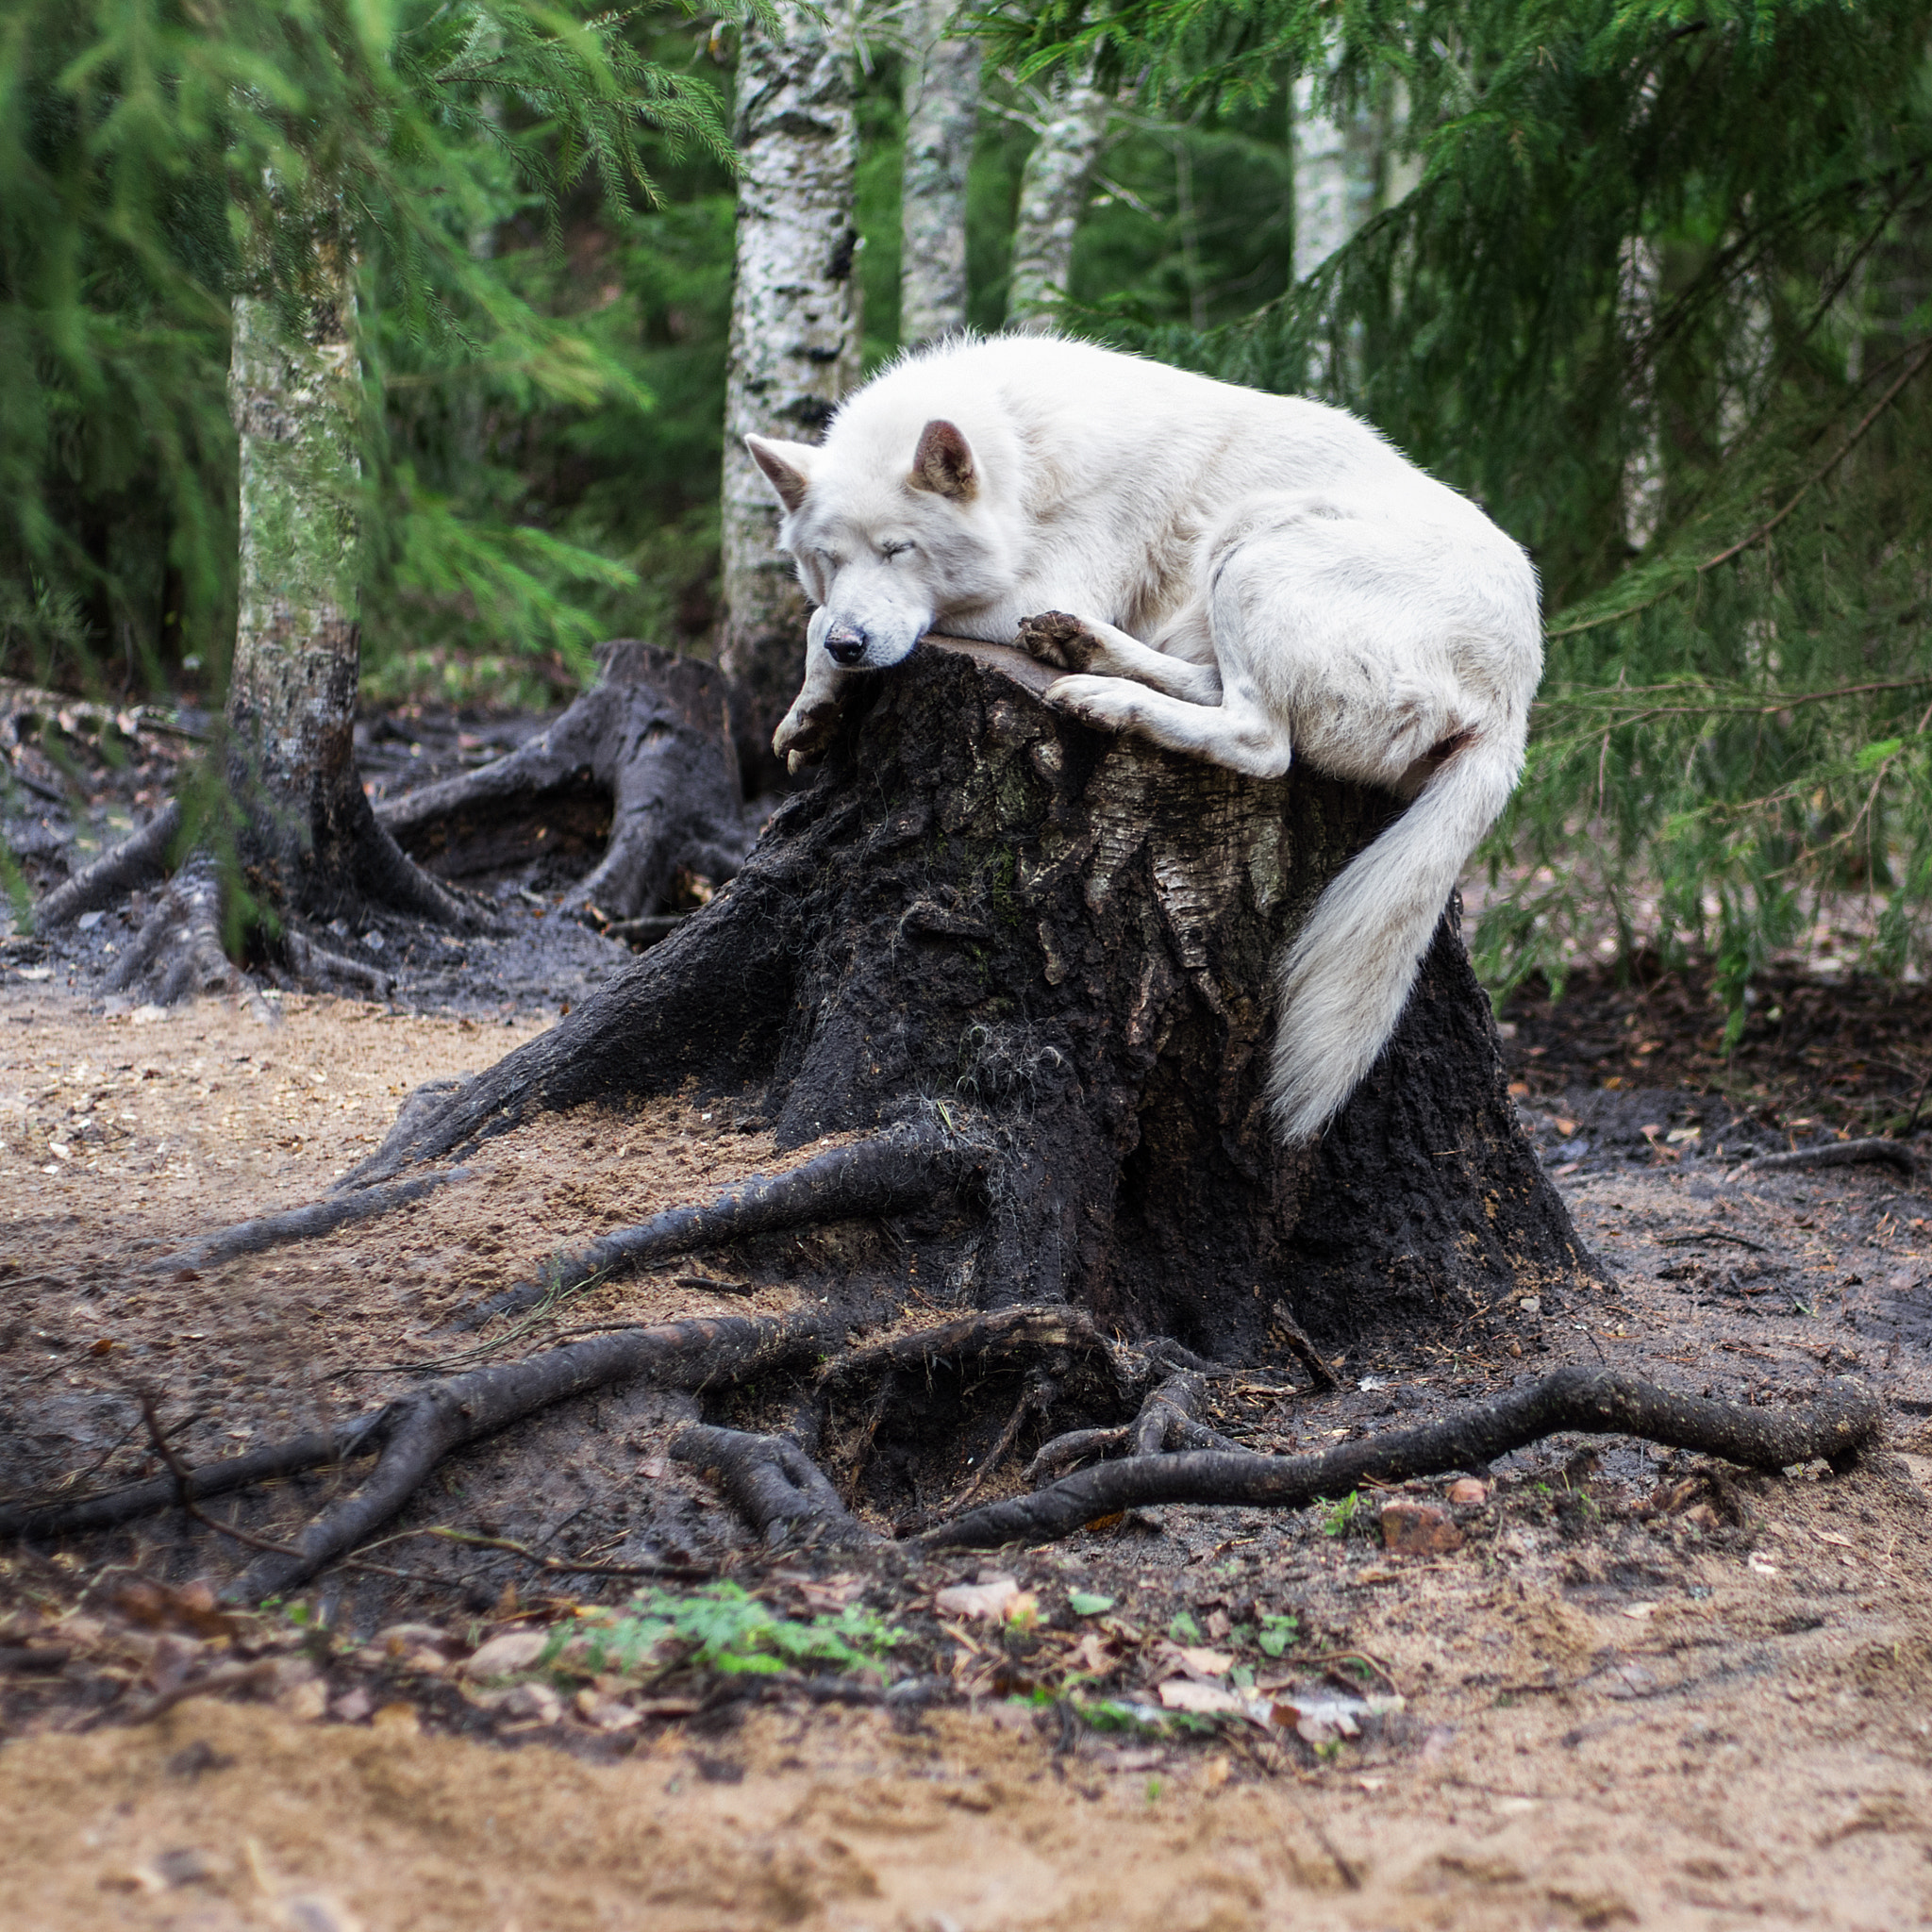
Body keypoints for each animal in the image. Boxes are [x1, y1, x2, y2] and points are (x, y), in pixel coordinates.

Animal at [745, 334, 1545, 1143]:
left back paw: (1107, 695)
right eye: (829, 558)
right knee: (1213, 687)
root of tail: (1513, 710)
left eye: (898, 549)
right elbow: (818, 618)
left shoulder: (1036, 585)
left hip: (1253, 544)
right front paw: (813, 711)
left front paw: (824, 683)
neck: (1023, 451)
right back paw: (1084, 649)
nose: (852, 646)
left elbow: (821, 621)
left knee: (1262, 741)